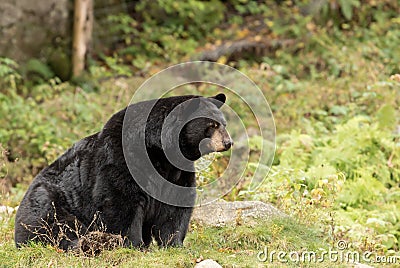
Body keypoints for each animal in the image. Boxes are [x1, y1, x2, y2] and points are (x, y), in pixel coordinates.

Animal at [14, 93, 233, 250]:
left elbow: (175, 207)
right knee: (54, 222)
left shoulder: (177, 171)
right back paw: (89, 242)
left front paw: (174, 243)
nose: (228, 142)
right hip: (50, 199)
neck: (160, 151)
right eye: (212, 125)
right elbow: (120, 201)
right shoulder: (121, 158)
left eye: (224, 123)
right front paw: (135, 245)